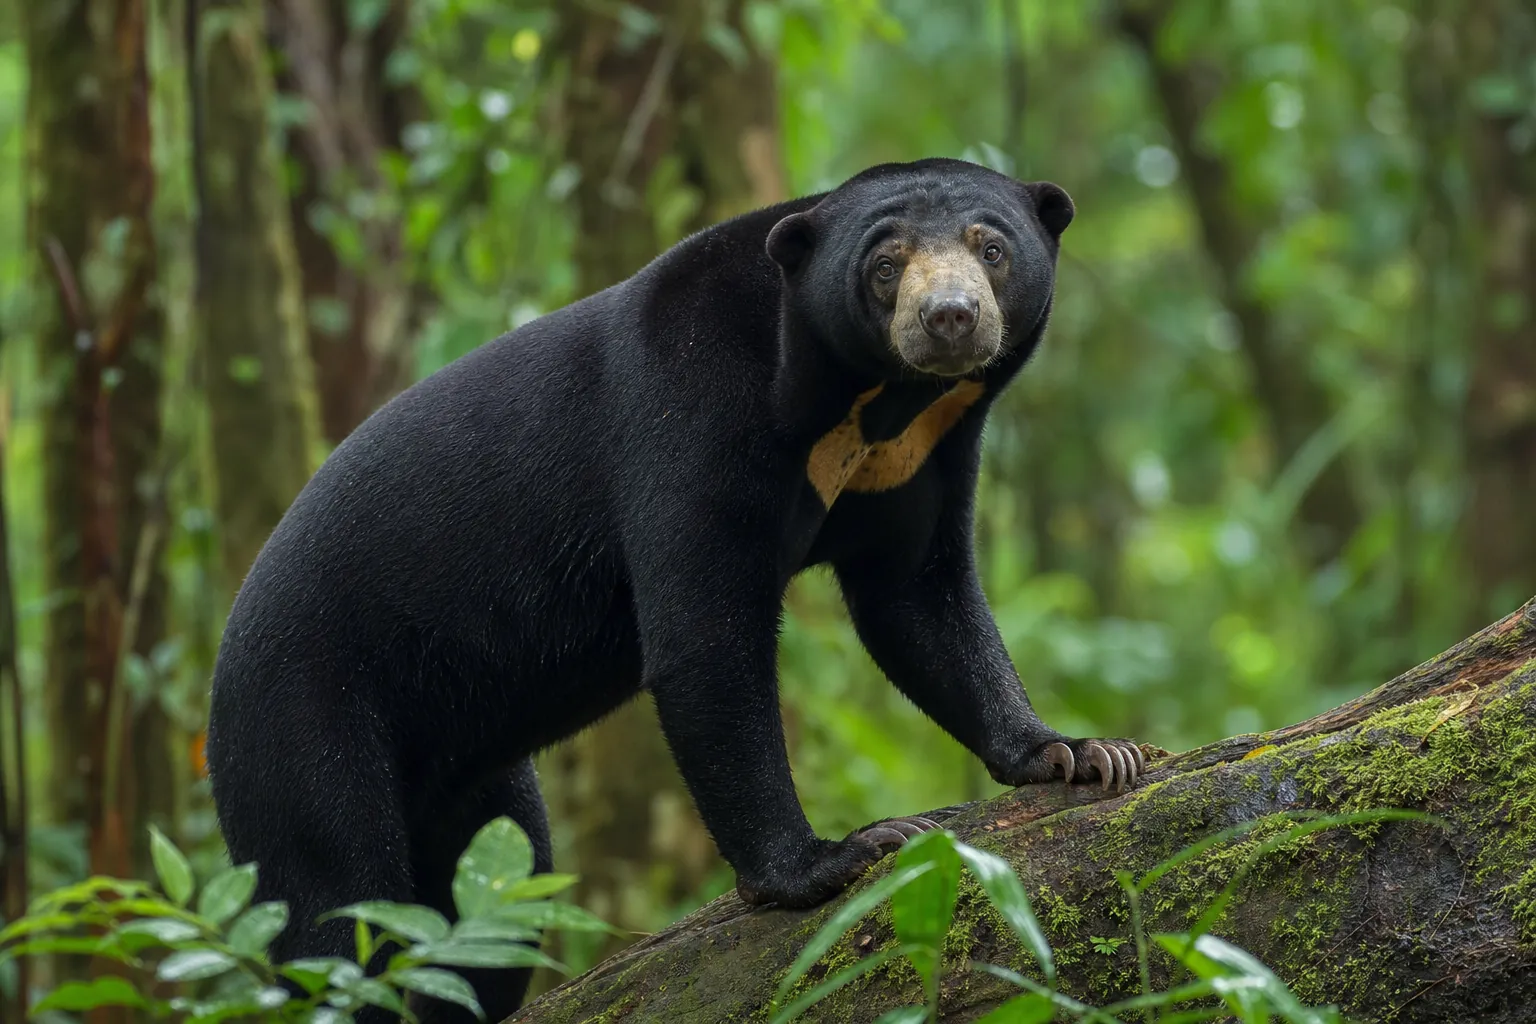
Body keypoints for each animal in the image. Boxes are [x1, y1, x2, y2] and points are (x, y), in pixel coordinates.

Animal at [205, 157, 1145, 1024]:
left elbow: (921, 601)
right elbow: (706, 636)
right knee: (335, 902)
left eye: (992, 248)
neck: (872, 403)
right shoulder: (689, 411)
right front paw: (841, 855)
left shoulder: (918, 459)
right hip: (307, 714)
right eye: (886, 265)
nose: (949, 317)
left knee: (491, 900)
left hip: (470, 774)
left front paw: (1083, 754)